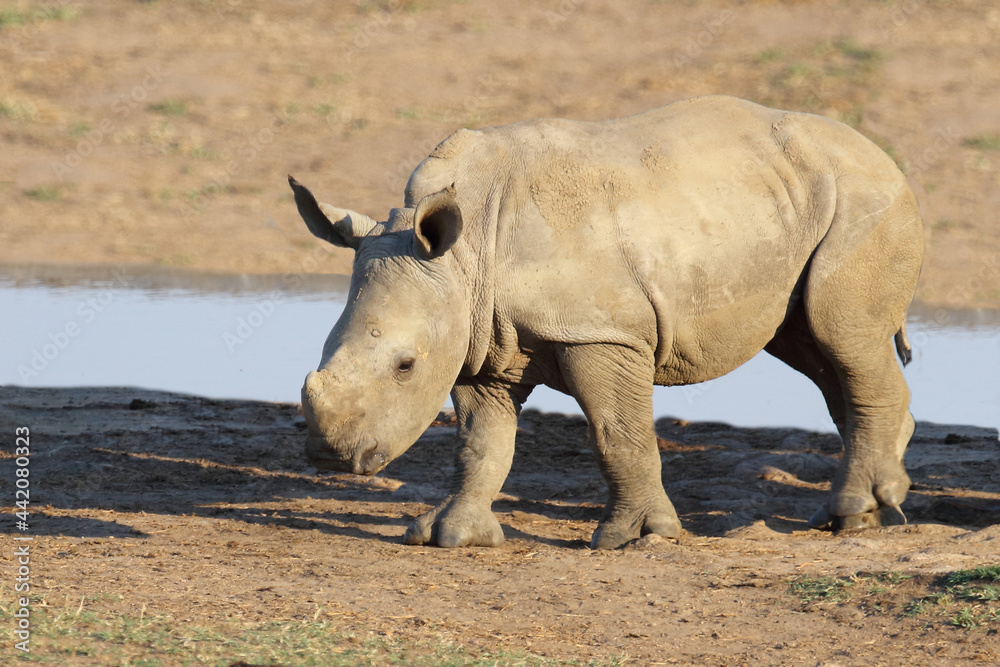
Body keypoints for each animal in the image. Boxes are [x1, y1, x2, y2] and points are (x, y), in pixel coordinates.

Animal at [289, 95, 923, 549]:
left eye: (404, 366)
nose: (329, 457)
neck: (468, 257)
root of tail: (883, 156)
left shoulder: (600, 331)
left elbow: (618, 433)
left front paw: (636, 539)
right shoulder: (478, 338)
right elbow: (479, 441)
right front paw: (450, 536)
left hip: (866, 201)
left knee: (842, 337)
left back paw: (854, 511)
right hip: (790, 205)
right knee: (816, 352)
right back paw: (868, 508)